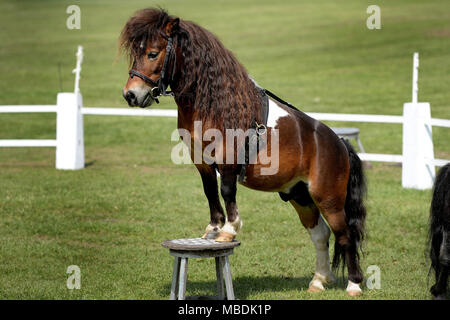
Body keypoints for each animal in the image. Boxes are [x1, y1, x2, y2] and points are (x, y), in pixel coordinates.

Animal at [121, 8, 368, 298]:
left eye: (152, 53)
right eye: (135, 53)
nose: (131, 95)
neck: (214, 103)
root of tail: (340, 144)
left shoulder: (228, 156)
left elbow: (227, 190)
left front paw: (229, 230)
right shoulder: (201, 160)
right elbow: (210, 191)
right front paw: (213, 229)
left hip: (329, 199)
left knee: (344, 235)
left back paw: (353, 284)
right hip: (300, 196)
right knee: (320, 234)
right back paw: (319, 281)